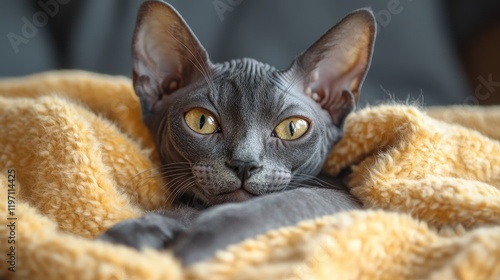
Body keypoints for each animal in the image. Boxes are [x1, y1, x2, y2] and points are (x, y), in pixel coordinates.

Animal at [98, 0, 376, 264]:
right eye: (201, 121)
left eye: (292, 128)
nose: (244, 163)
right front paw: (131, 234)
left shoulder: (348, 200)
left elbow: (280, 203)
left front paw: (194, 242)